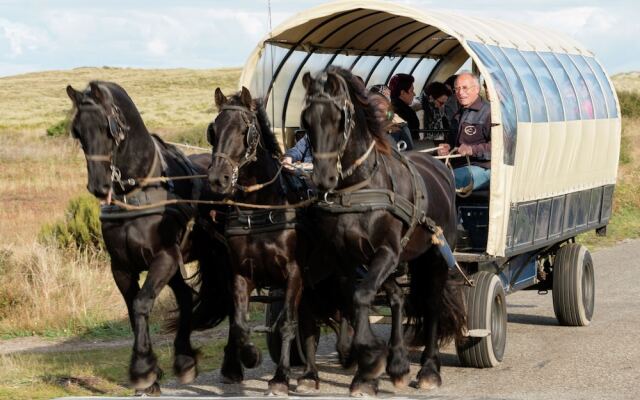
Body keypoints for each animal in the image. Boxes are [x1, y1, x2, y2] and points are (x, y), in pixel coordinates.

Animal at [66, 80, 231, 394]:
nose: (98, 185)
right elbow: (134, 309)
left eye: (108, 128)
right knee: (186, 297)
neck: (138, 190)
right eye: (77, 131)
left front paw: (142, 368)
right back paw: (184, 359)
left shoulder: (164, 258)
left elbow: (142, 303)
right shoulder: (121, 267)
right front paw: (150, 376)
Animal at [300, 67, 464, 396]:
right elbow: (351, 300)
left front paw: (370, 358)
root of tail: (438, 164)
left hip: (434, 256)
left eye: (339, 118)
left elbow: (362, 296)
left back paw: (428, 369)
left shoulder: (386, 252)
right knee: (398, 297)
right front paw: (358, 360)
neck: (359, 188)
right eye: (305, 120)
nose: (323, 178)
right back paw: (398, 361)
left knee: (432, 303)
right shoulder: (346, 257)